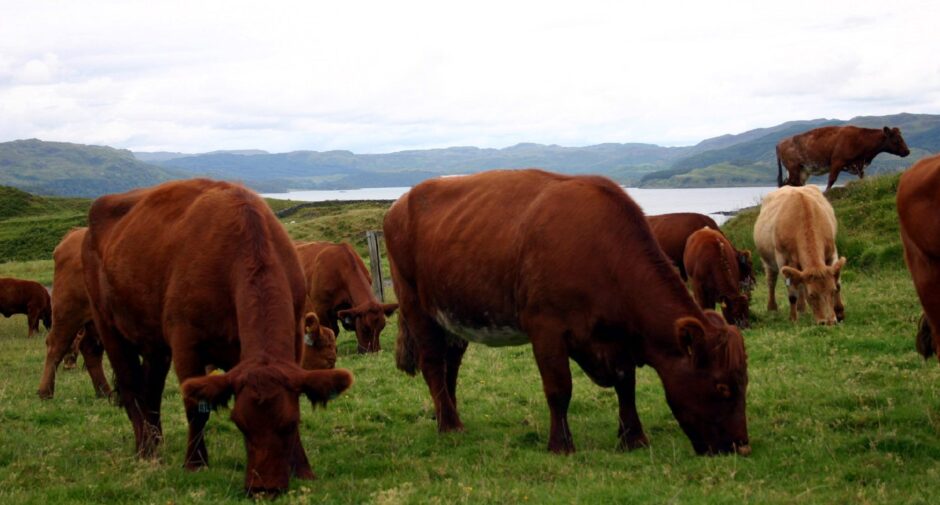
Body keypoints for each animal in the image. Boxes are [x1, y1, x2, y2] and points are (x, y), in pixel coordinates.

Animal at [37, 227, 111, 398]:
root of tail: (75, 232)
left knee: (90, 349)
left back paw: (105, 393)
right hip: (68, 312)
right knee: (56, 345)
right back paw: (45, 392)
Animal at [382, 170, 748, 456]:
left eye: (744, 382)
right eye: (722, 387)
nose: (741, 447)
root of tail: (400, 202)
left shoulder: (616, 337)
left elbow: (625, 383)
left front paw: (633, 438)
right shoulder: (546, 328)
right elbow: (559, 388)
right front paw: (561, 445)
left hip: (454, 315)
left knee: (451, 364)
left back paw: (449, 415)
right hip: (416, 304)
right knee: (433, 363)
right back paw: (449, 425)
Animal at [752, 184, 848, 322]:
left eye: (832, 291)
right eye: (811, 294)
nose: (828, 321)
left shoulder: (832, 252)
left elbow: (838, 282)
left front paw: (840, 312)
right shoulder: (783, 260)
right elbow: (792, 293)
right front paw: (793, 318)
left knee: (799, 283)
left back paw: (801, 308)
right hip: (767, 261)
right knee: (771, 281)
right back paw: (772, 307)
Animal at [780, 124, 912, 191]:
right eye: (897, 139)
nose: (907, 151)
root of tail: (780, 143)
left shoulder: (859, 165)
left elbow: (862, 177)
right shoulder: (837, 162)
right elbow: (831, 180)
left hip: (802, 171)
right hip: (794, 170)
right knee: (790, 184)